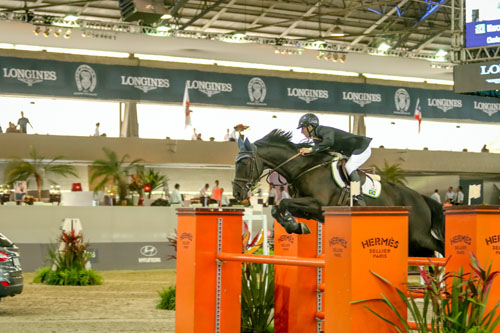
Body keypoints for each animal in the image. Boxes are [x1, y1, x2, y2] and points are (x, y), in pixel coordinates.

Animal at [232, 130, 444, 256]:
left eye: (244, 162)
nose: (237, 193)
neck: (304, 168)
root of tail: (420, 198)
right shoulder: (308, 208)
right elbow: (278, 209)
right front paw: (296, 226)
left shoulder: (318, 204)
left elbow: (282, 204)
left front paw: (293, 225)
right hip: (413, 244)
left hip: (418, 236)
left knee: (439, 246)